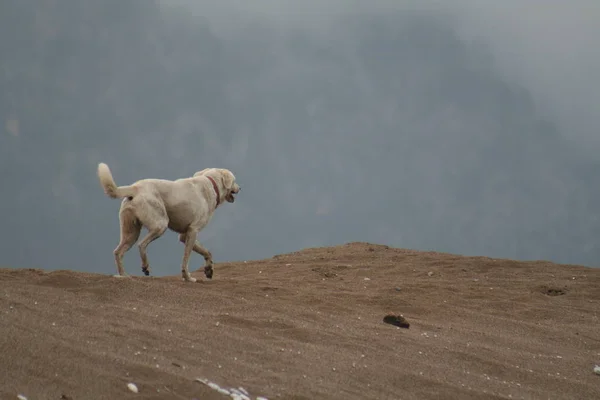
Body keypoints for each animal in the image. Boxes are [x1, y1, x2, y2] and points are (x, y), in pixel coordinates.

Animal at [97, 162, 240, 282]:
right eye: (234, 181)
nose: (240, 188)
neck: (211, 184)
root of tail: (135, 187)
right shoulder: (193, 231)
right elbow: (186, 259)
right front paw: (187, 277)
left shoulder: (184, 235)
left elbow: (207, 252)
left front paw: (209, 269)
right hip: (161, 224)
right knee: (141, 245)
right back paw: (145, 267)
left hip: (131, 232)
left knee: (118, 252)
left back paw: (124, 275)